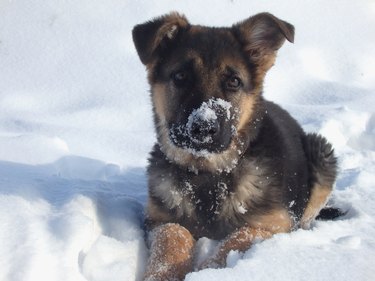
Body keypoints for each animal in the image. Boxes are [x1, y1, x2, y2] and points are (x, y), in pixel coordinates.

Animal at [132, 11, 338, 280]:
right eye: (180, 77)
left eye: (234, 82)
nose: (204, 128)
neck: (208, 173)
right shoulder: (157, 219)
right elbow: (173, 234)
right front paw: (162, 274)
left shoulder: (277, 223)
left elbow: (238, 237)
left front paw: (209, 271)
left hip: (321, 153)